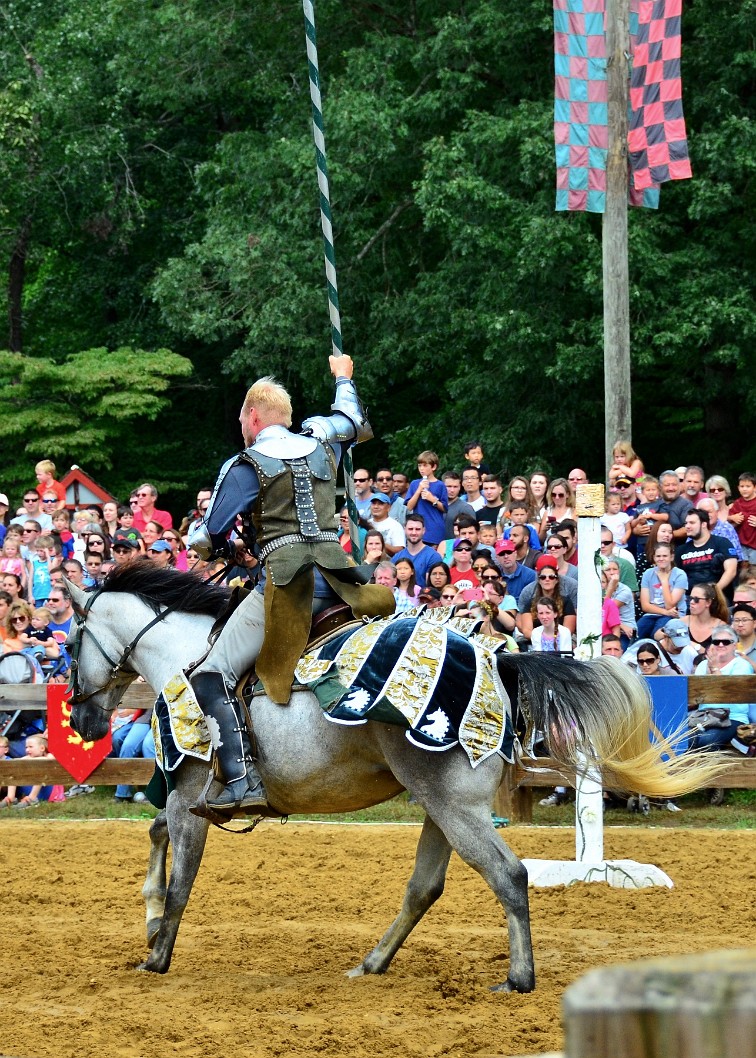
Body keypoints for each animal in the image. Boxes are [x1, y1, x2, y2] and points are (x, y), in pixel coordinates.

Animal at [66, 567, 723, 986]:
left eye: (71, 643)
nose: (80, 718)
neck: (184, 656)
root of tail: (498, 663)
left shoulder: (189, 801)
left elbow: (180, 876)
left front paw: (156, 951)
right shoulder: (183, 801)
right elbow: (155, 839)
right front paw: (150, 917)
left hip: (453, 807)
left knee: (508, 874)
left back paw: (519, 977)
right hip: (441, 805)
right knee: (425, 887)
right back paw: (372, 963)